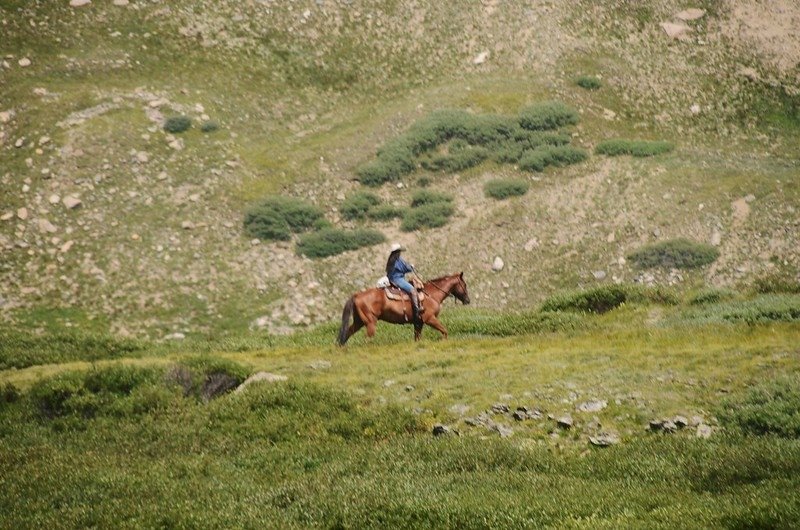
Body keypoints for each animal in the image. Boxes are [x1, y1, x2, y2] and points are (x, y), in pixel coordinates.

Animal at [336, 270, 468, 344]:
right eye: (464, 284)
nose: (468, 300)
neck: (432, 294)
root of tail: (357, 295)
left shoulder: (418, 323)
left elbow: (417, 338)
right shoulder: (429, 319)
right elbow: (444, 331)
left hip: (359, 322)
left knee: (347, 333)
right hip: (370, 323)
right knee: (367, 339)